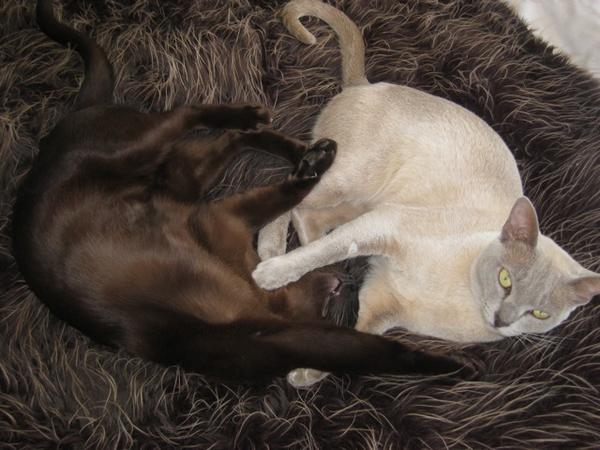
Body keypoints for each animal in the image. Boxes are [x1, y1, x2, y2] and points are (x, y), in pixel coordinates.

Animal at [11, 0, 474, 385]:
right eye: (347, 307)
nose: (348, 278)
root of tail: (72, 116)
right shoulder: (279, 316)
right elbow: (378, 353)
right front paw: (451, 366)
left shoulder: (223, 217)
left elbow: (281, 195)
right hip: (148, 148)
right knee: (191, 115)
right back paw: (293, 140)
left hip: (186, 173)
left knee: (231, 136)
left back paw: (291, 140)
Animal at [254, 0, 600, 386]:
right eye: (505, 279)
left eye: (539, 313)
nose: (502, 320)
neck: (460, 299)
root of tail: (366, 84)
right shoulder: (384, 226)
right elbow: (326, 251)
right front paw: (269, 276)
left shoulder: (383, 304)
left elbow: (357, 338)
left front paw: (305, 373)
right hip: (353, 182)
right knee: (292, 192)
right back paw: (272, 252)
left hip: (356, 203)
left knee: (310, 218)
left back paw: (327, 276)